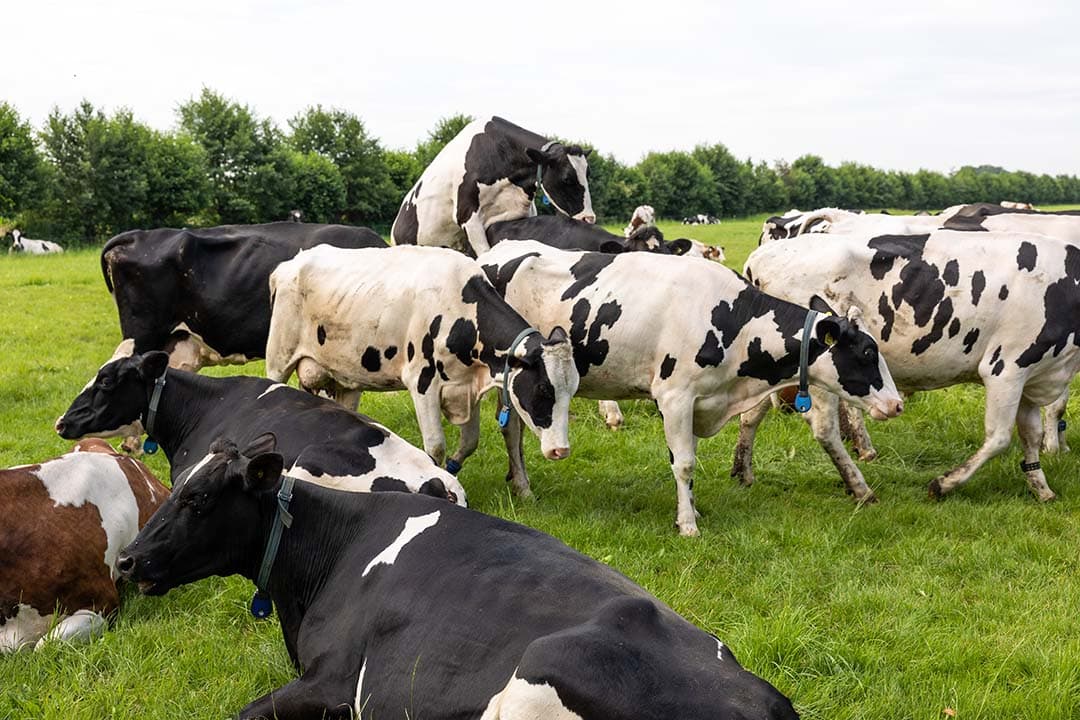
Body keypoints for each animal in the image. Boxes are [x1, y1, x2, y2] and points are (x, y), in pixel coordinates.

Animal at [116, 435, 800, 720]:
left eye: (199, 499)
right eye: (175, 484)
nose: (124, 560)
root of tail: (765, 703)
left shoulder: (335, 683)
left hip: (541, 672)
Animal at [265, 244, 579, 489]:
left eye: (571, 391)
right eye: (542, 389)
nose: (561, 450)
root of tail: (289, 264)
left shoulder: (466, 386)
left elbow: (470, 441)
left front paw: (454, 467)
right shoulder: (423, 383)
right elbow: (435, 445)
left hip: (345, 376)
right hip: (278, 359)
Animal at [480, 241, 903, 535]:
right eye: (868, 352)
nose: (897, 404)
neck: (735, 321)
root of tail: (497, 252)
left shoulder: (701, 401)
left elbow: (691, 458)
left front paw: (693, 509)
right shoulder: (674, 398)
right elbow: (683, 464)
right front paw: (687, 524)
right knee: (512, 428)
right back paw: (523, 486)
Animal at [740, 230, 1080, 502]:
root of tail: (762, 255)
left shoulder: (1034, 373)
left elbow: (1031, 435)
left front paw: (1041, 488)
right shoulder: (1006, 368)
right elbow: (998, 438)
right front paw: (943, 484)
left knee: (751, 414)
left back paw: (743, 472)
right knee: (824, 429)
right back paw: (860, 488)